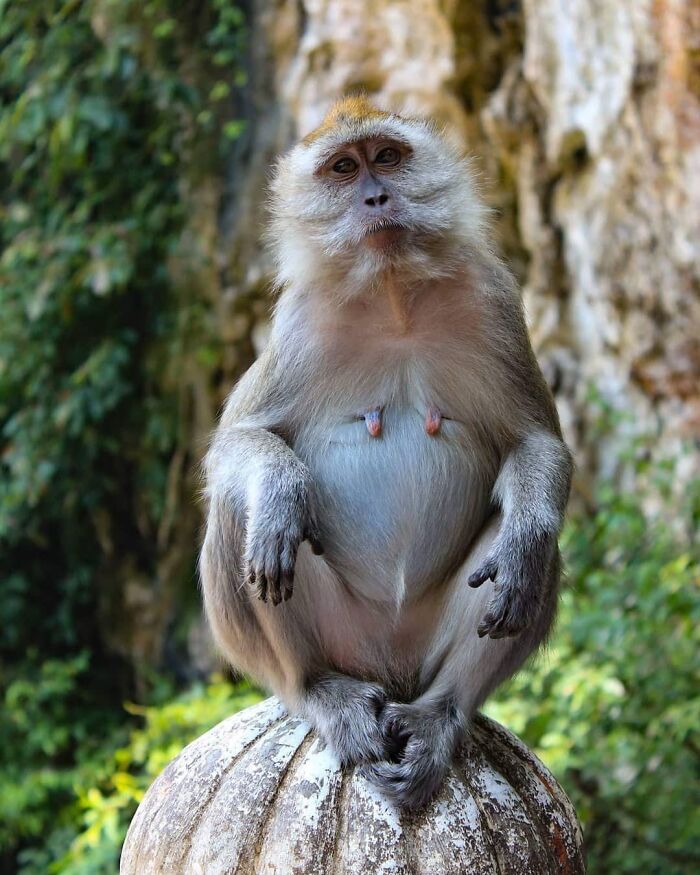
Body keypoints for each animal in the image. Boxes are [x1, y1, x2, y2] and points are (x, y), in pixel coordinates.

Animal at [200, 96, 573, 810]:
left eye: (389, 157)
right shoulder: (299, 322)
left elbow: (536, 442)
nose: (375, 197)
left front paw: (523, 541)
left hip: (420, 652)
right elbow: (239, 443)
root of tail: (392, 671)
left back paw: (441, 714)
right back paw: (322, 691)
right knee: (242, 517)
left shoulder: (494, 299)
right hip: (341, 642)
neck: (394, 294)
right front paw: (281, 493)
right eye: (344, 169)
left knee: (537, 557)